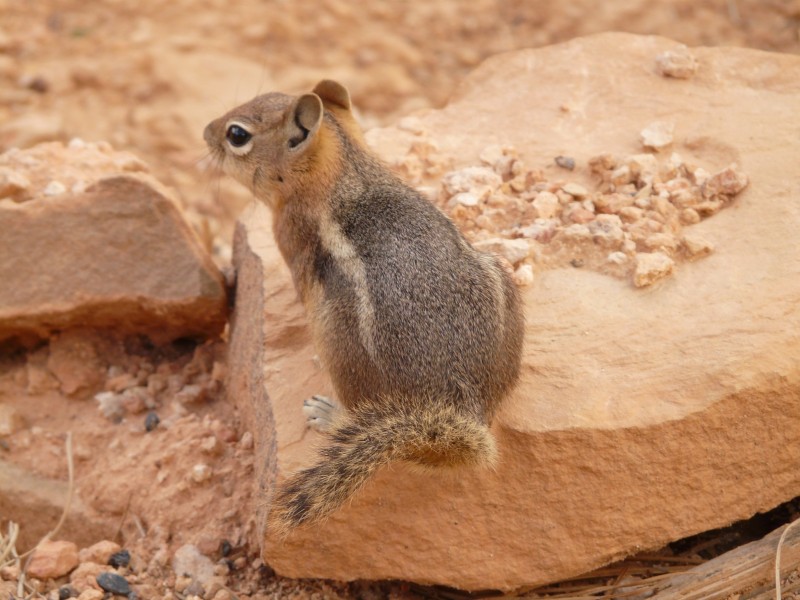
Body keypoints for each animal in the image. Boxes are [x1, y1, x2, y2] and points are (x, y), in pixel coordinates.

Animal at [203, 79, 520, 536]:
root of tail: (463, 409)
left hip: (338, 340)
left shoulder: (292, 242)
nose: (205, 132)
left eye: (237, 135)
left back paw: (327, 413)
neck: (347, 170)